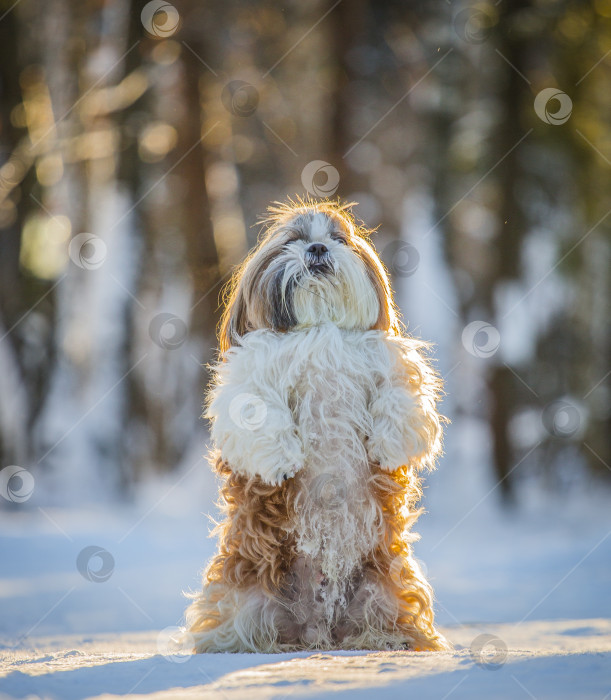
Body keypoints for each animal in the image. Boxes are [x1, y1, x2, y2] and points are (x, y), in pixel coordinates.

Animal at [185, 200, 450, 652]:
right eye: (293, 240)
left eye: (338, 239)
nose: (317, 248)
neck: (321, 328)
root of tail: (319, 630)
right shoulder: (251, 372)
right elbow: (256, 407)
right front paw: (282, 459)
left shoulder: (388, 362)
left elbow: (400, 394)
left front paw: (387, 444)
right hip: (250, 598)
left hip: (384, 590)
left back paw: (388, 640)